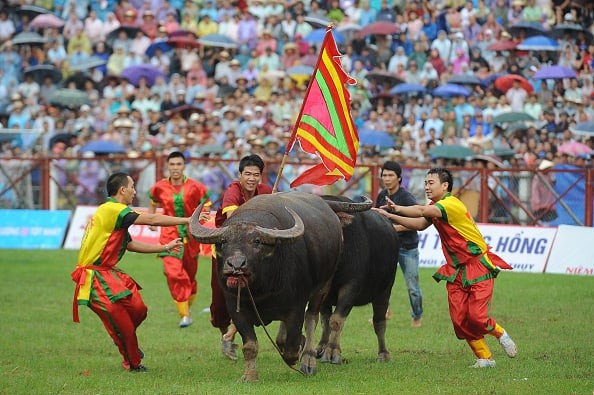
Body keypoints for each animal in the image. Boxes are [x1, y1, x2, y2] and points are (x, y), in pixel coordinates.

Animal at [190, 192, 370, 384]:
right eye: (223, 241)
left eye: (256, 241)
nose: (236, 265)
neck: (261, 289)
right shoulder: (236, 309)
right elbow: (250, 346)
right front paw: (250, 376)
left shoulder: (296, 307)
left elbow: (292, 346)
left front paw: (299, 353)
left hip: (323, 287)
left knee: (312, 319)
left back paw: (308, 360)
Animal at [316, 195, 400, 366]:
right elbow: (325, 320)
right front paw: (322, 348)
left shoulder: (351, 287)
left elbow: (336, 320)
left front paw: (332, 353)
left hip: (384, 290)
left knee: (379, 321)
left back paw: (383, 354)